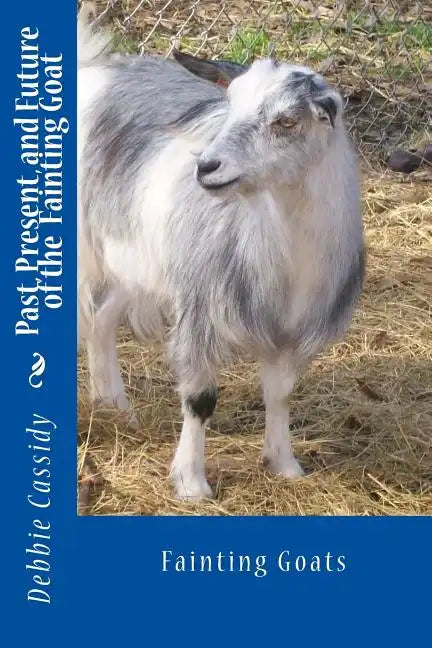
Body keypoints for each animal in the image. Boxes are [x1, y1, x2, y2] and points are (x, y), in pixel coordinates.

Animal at [78, 9, 365, 500]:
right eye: (230, 105)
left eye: (287, 121)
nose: (206, 166)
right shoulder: (201, 310)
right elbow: (200, 398)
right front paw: (191, 483)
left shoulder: (288, 327)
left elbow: (280, 393)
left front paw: (284, 464)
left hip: (135, 256)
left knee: (102, 317)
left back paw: (115, 405)